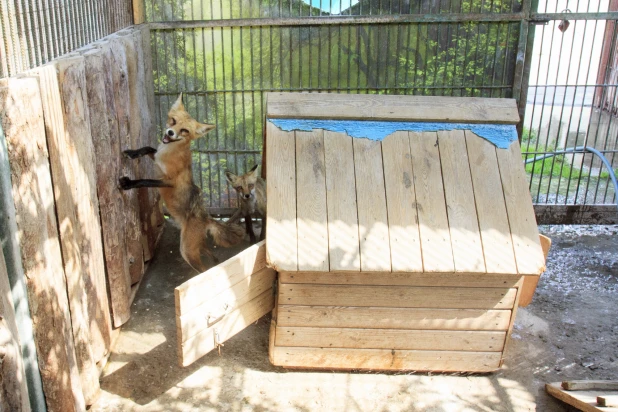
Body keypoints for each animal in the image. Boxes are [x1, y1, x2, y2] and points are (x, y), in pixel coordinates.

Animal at [118, 93, 243, 274]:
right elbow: (149, 148)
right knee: (211, 255)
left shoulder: (168, 181)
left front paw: (128, 183)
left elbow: (145, 181)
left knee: (203, 268)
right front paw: (133, 153)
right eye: (173, 121)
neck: (169, 151)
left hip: (187, 250)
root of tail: (206, 216)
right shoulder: (157, 159)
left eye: (184, 131)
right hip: (197, 246)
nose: (170, 133)